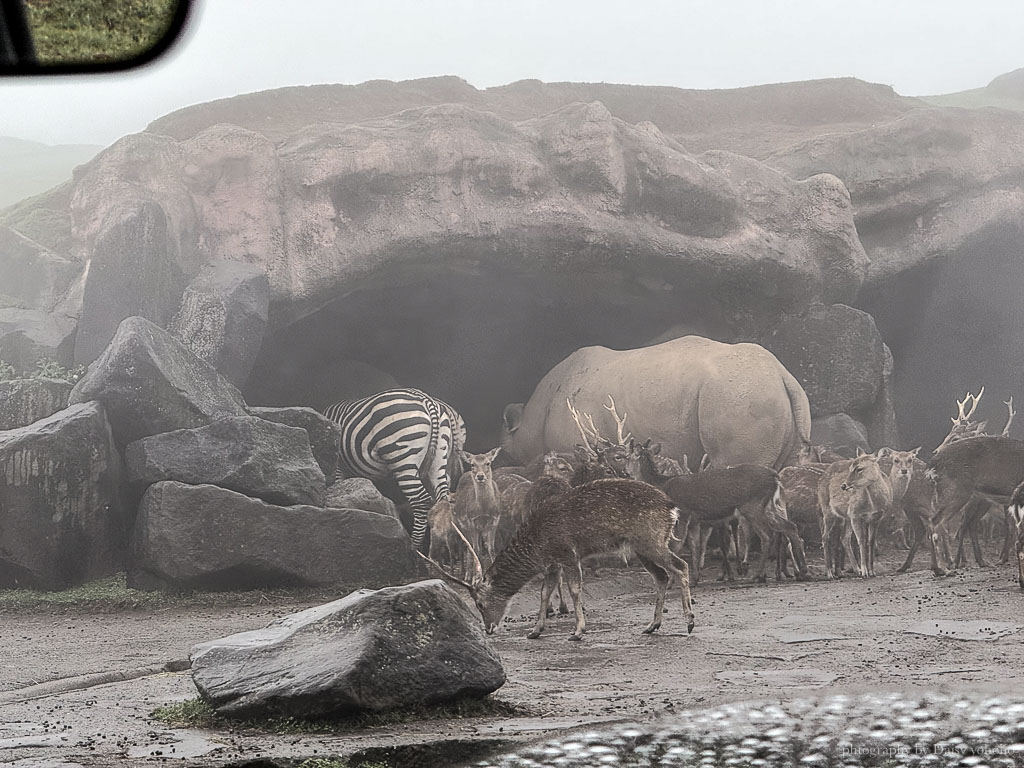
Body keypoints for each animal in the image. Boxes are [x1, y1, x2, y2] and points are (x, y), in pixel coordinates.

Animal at [319, 391, 468, 552]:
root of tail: (427, 400)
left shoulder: (339, 465)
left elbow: (339, 484)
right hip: (439, 457)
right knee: (442, 498)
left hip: (402, 456)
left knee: (421, 501)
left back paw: (414, 547)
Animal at [417, 479, 696, 638]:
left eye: (479, 604)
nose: (488, 628)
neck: (537, 543)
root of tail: (672, 508)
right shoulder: (552, 562)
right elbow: (544, 592)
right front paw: (535, 630)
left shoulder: (568, 553)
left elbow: (574, 589)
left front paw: (578, 631)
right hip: (641, 547)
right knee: (662, 576)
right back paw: (652, 625)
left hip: (651, 541)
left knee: (681, 566)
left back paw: (690, 622)